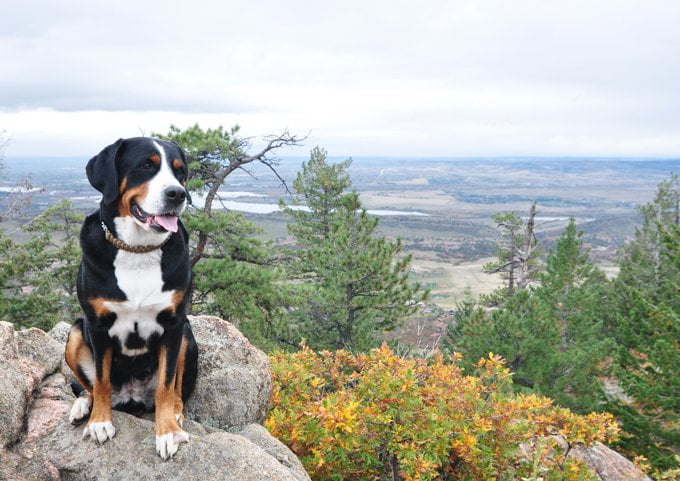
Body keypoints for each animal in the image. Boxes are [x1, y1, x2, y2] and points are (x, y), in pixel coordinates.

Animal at [65, 137, 198, 460]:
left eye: (180, 171)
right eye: (146, 165)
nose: (177, 194)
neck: (138, 250)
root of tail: (131, 396)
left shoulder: (174, 324)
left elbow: (166, 385)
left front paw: (167, 432)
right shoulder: (97, 324)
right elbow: (100, 381)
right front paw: (99, 422)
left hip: (188, 335)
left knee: (176, 390)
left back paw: (175, 415)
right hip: (75, 333)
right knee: (89, 387)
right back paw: (83, 407)